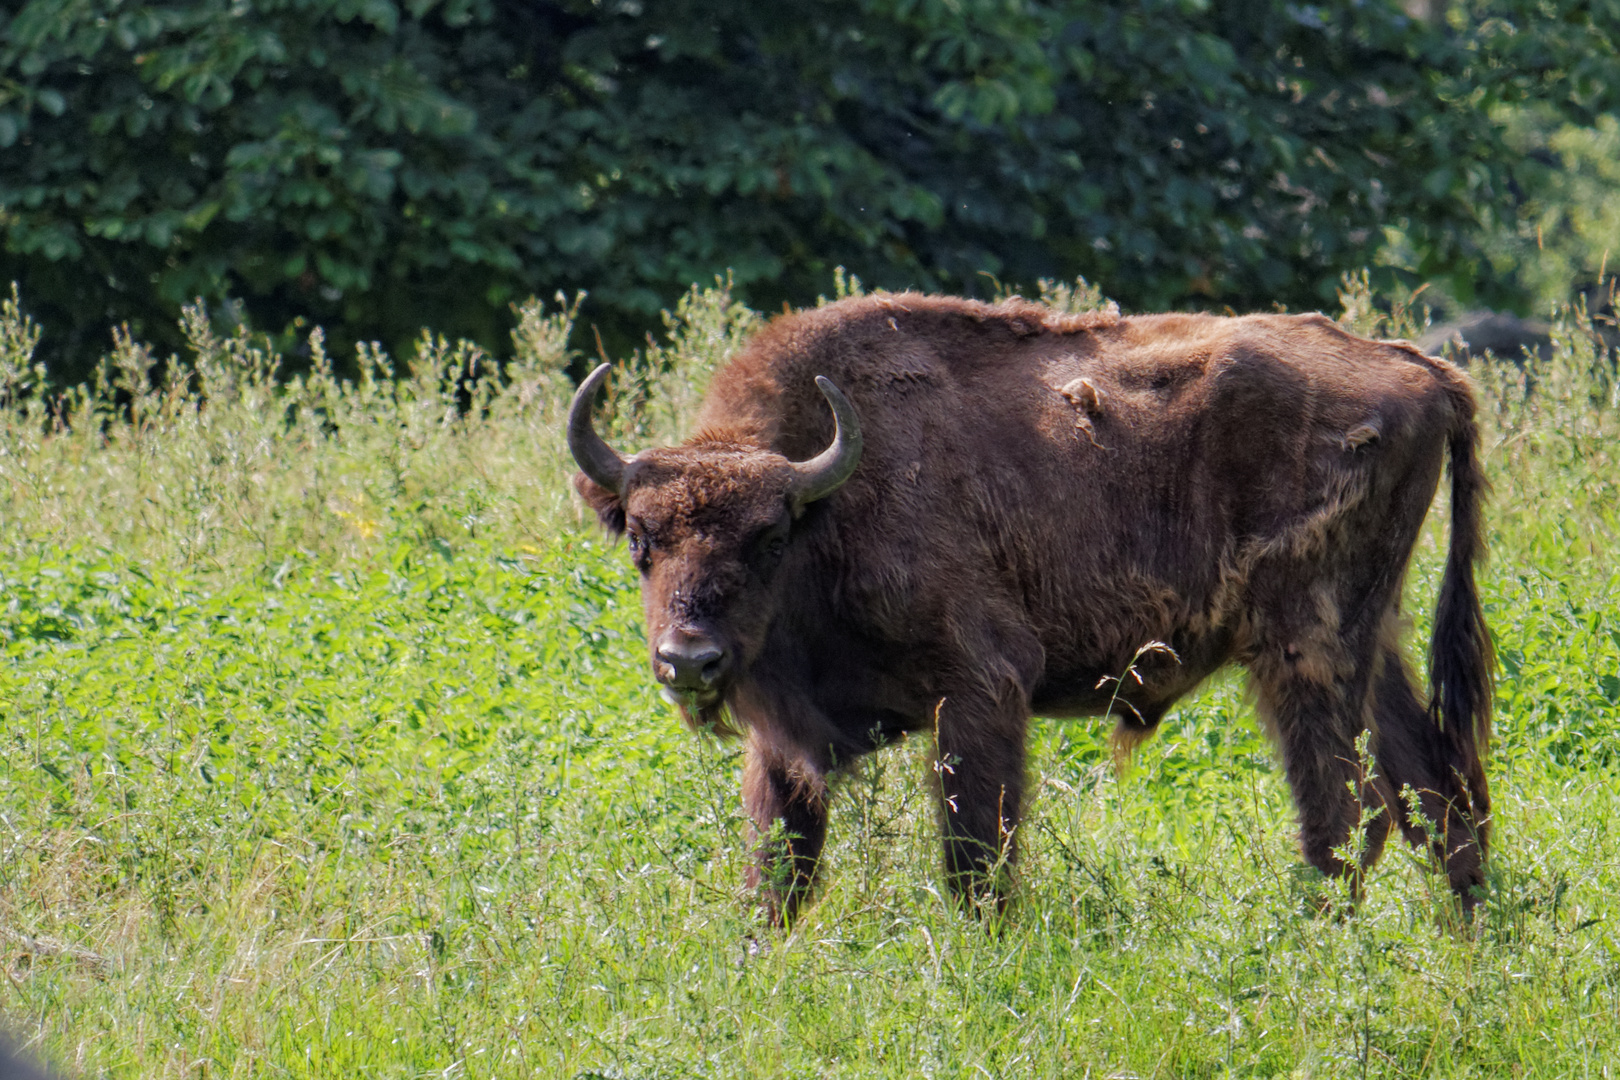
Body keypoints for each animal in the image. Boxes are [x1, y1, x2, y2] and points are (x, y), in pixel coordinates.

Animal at [570, 291, 1490, 926]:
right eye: (640, 538)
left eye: (767, 538)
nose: (689, 660)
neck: (829, 499)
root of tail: (1421, 370)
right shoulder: (783, 744)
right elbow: (780, 869)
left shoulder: (982, 689)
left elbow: (975, 853)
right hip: (1375, 643)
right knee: (1436, 792)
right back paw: (1472, 943)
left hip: (1307, 650)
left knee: (1346, 812)